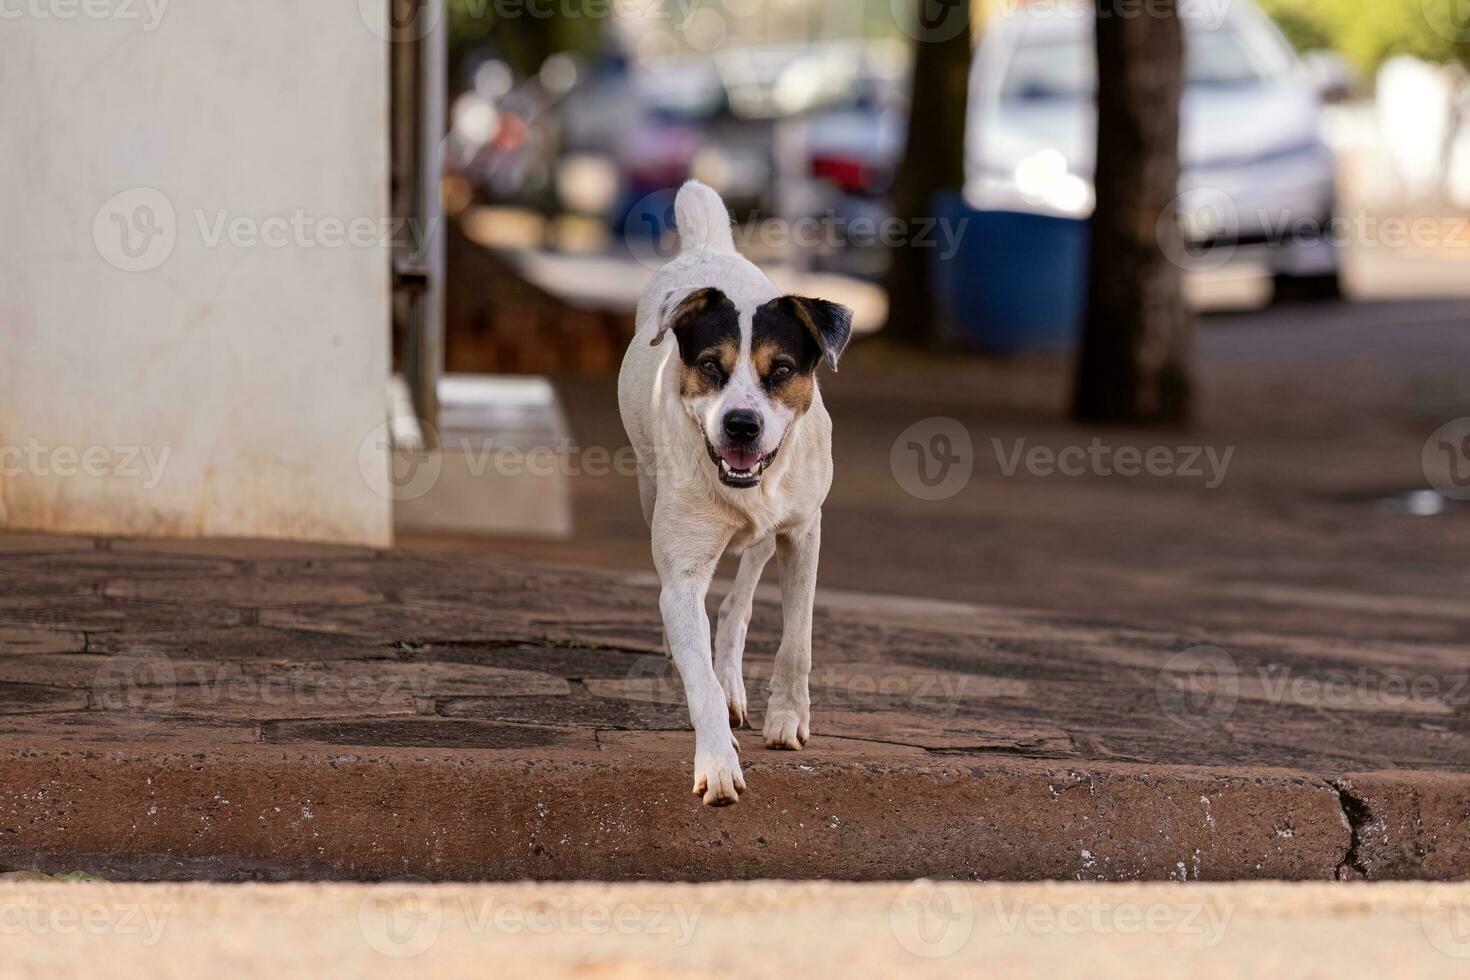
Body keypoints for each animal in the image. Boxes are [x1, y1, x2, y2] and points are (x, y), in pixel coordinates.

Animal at [617, 179, 852, 811]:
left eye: (783, 370)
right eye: (708, 365)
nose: (742, 425)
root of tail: (709, 246)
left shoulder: (805, 531)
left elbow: (798, 637)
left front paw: (788, 720)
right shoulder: (682, 569)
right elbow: (693, 659)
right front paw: (718, 763)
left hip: (770, 534)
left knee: (740, 595)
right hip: (648, 491)